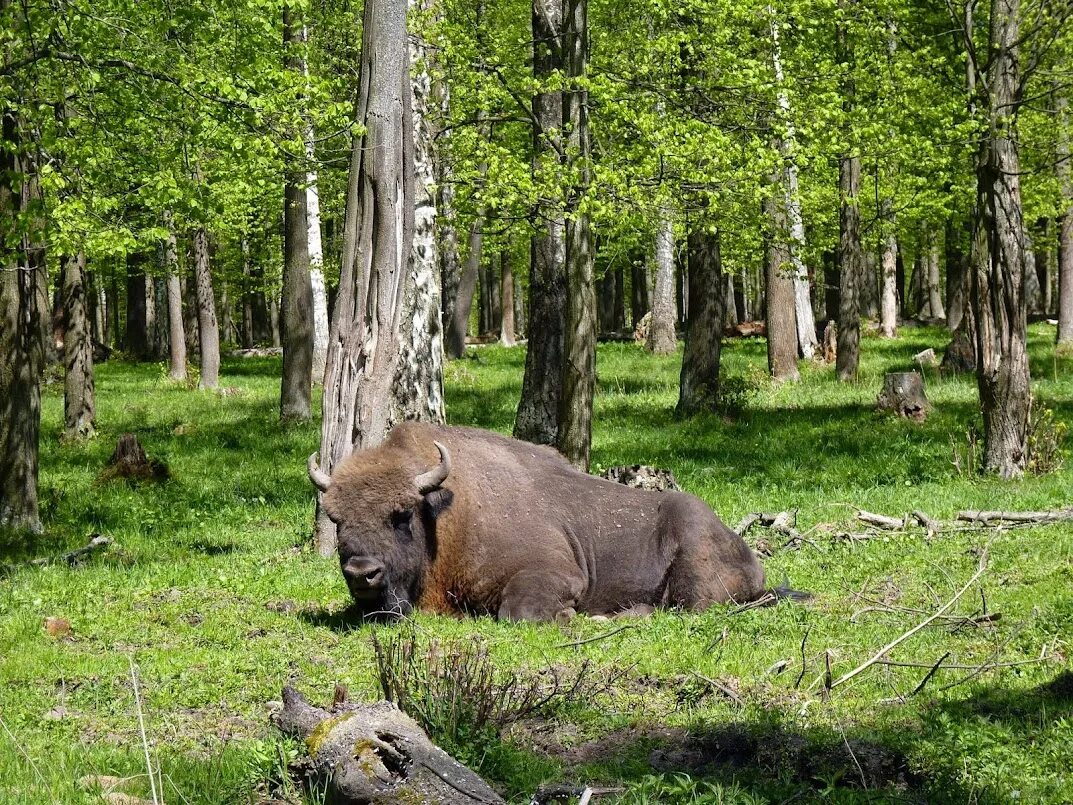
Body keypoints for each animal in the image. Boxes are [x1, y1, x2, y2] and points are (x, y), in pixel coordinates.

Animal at [311, 422, 781, 622]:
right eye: (337, 520)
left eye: (402, 514)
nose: (362, 573)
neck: (445, 515)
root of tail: (750, 557)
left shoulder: (555, 573)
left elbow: (518, 610)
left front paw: (572, 616)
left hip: (695, 563)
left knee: (689, 609)